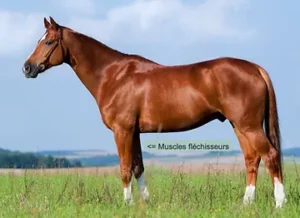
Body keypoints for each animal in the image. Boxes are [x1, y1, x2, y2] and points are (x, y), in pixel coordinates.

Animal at [22, 17, 286, 208]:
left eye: (48, 42)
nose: (27, 67)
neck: (113, 75)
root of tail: (255, 68)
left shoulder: (122, 130)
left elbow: (125, 168)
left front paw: (127, 205)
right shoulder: (135, 132)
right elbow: (138, 167)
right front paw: (145, 203)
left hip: (249, 126)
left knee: (270, 155)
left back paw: (280, 203)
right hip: (239, 126)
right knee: (252, 159)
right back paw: (246, 203)